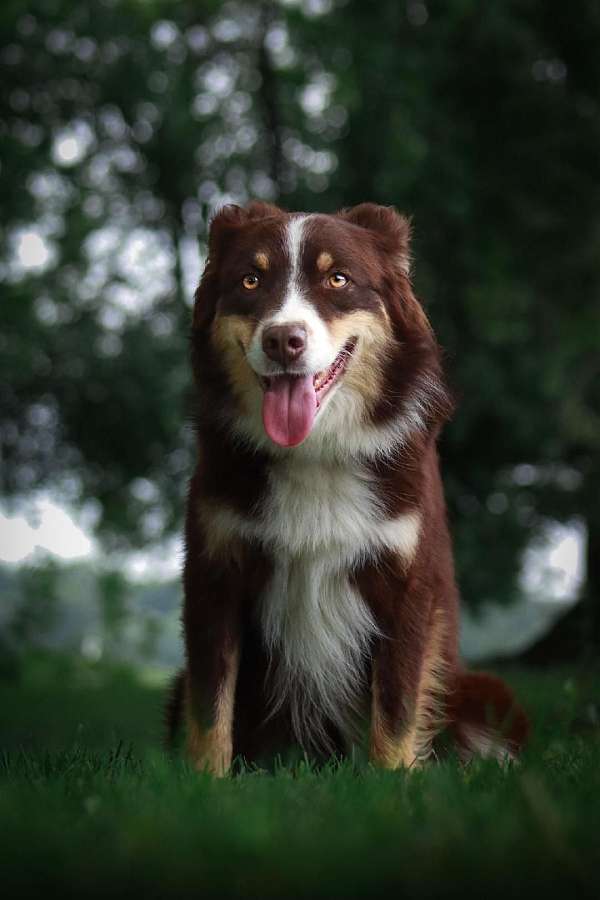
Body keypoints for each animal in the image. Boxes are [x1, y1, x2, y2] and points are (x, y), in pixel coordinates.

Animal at [166, 202, 528, 772]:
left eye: (338, 279)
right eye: (250, 280)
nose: (282, 341)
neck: (316, 450)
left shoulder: (405, 579)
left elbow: (397, 706)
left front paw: (392, 781)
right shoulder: (215, 570)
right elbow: (210, 707)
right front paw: (207, 783)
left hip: (487, 694)